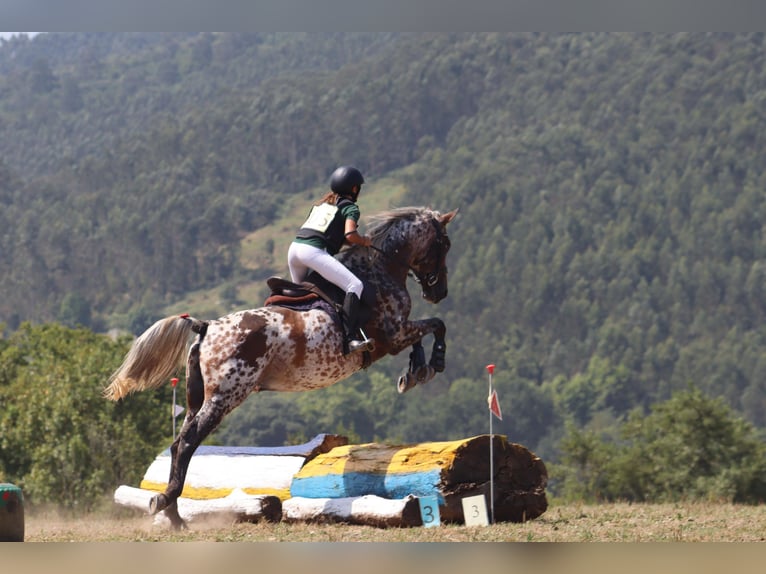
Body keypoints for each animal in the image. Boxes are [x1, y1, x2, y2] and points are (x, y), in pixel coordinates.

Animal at [104, 206, 458, 529]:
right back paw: (167, 506)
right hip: (225, 396)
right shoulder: (393, 335)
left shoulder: (399, 334)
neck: (381, 268)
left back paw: (174, 514)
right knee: (188, 443)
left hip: (196, 399)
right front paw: (434, 363)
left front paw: (416, 371)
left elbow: (424, 334)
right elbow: (436, 325)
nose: (439, 292)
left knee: (179, 444)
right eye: (445, 244)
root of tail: (206, 327)